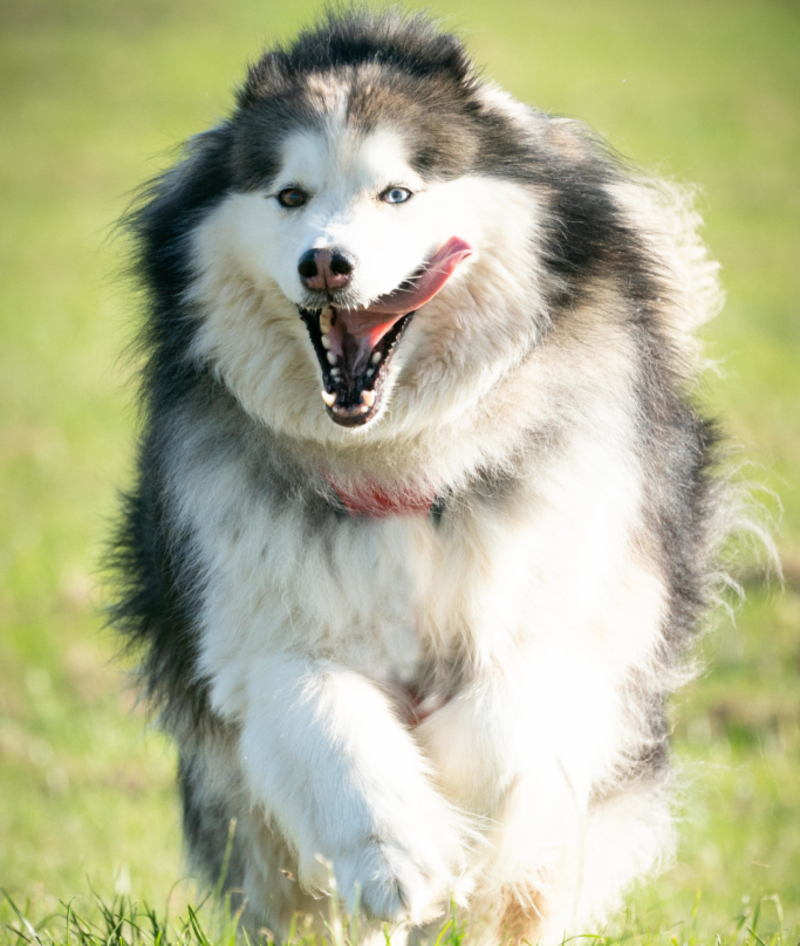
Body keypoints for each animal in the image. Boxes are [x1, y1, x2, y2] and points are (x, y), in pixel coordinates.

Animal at [114, 9, 732, 944]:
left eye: (397, 194)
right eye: (289, 196)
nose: (325, 264)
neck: (402, 465)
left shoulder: (573, 602)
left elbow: (508, 722)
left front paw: (457, 811)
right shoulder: (255, 625)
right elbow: (325, 719)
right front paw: (401, 855)